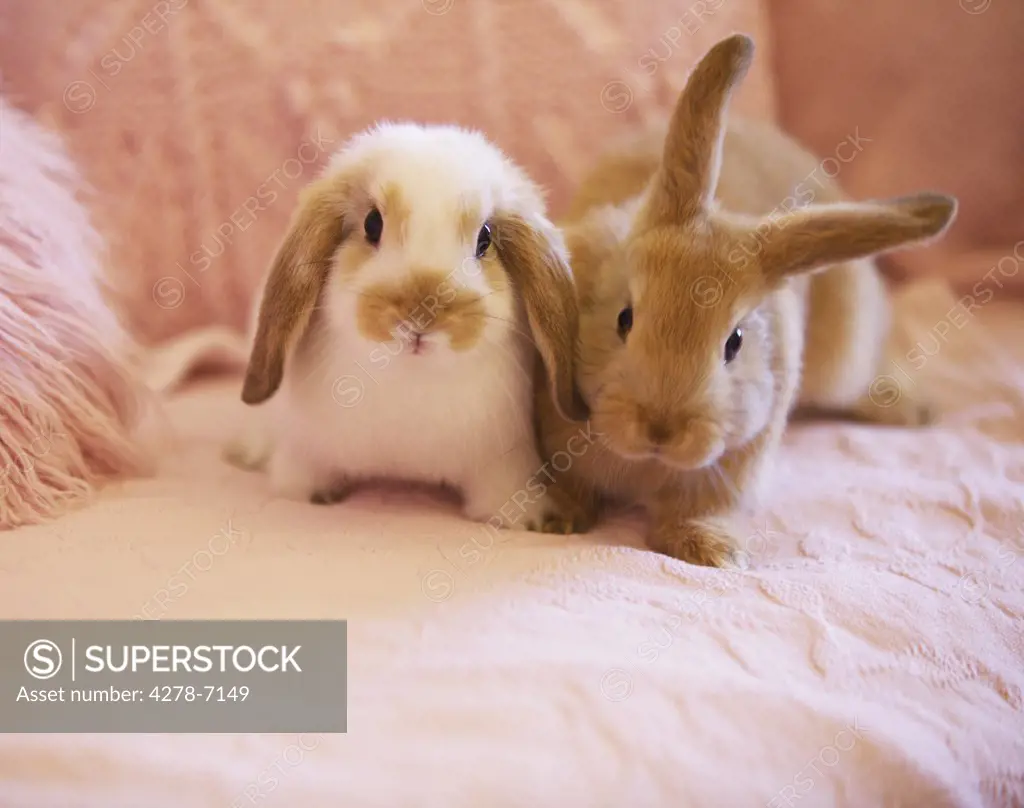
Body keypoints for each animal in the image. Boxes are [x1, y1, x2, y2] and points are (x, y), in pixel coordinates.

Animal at [227, 121, 589, 528]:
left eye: (485, 238)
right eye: (372, 223)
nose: (421, 315)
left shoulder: (503, 462)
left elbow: (504, 497)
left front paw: (534, 521)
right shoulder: (305, 449)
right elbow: (299, 481)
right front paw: (313, 496)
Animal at [536, 34, 958, 569]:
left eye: (734, 343)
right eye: (624, 319)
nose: (660, 430)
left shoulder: (732, 468)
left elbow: (700, 509)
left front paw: (710, 551)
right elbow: (570, 484)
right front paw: (559, 517)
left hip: (843, 358)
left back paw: (912, 408)